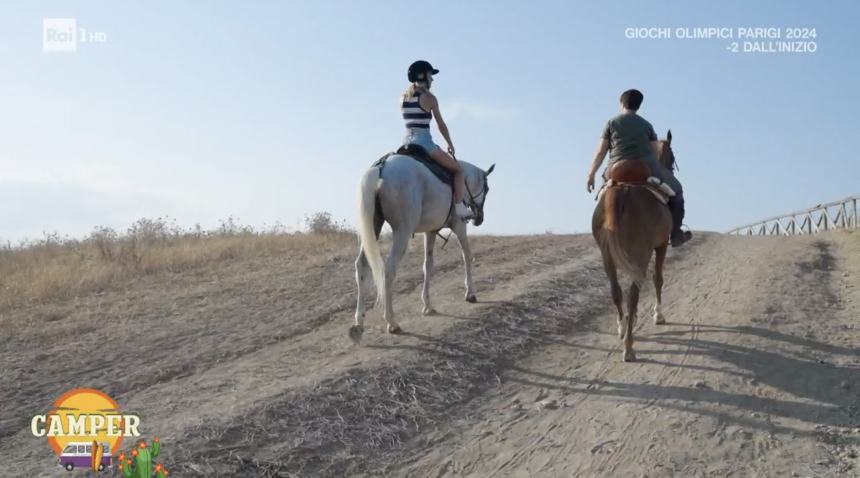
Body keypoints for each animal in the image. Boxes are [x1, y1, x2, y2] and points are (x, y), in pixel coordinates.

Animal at [352, 155, 498, 342]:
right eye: (487, 189)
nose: (479, 218)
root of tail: (381, 167)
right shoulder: (459, 225)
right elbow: (467, 255)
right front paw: (470, 293)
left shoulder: (431, 231)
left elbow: (428, 266)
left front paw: (428, 305)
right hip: (402, 232)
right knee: (389, 269)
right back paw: (392, 321)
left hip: (374, 227)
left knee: (361, 265)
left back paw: (359, 321)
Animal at [592, 131, 680, 362]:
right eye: (672, 155)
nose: (670, 169)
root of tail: (623, 189)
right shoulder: (660, 246)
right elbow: (658, 279)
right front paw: (659, 315)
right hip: (641, 253)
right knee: (633, 293)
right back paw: (628, 347)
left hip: (607, 255)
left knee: (617, 291)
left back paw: (623, 329)